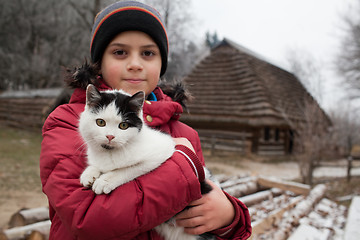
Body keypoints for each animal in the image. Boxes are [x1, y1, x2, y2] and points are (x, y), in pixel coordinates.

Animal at [78, 83, 214, 240]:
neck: (110, 152)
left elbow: (128, 169)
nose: (110, 136)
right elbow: (96, 165)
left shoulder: (163, 150)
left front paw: (104, 180)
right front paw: (89, 174)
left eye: (123, 126)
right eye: (100, 122)